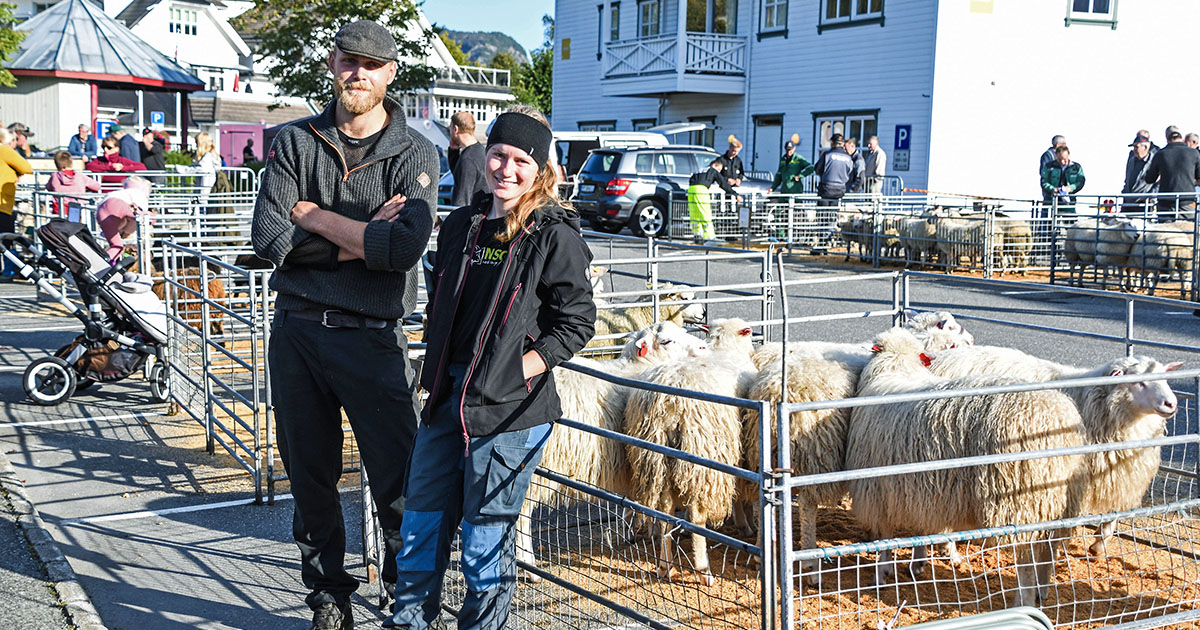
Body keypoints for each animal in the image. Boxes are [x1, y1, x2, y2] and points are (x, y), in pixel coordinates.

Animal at [516, 321, 709, 580]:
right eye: (667, 341)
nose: (703, 346)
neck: (640, 369)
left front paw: (633, 530)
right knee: (521, 516)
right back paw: (530, 568)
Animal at [623, 318, 757, 586]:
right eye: (666, 340)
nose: (702, 347)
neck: (727, 348)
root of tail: (668, 403)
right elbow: (740, 493)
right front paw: (746, 525)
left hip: (657, 455)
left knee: (664, 510)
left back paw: (665, 566)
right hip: (702, 453)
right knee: (697, 515)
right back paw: (704, 571)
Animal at [846, 328, 1088, 606]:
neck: (895, 367)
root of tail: (1056, 416)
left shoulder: (877, 488)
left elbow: (884, 536)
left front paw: (882, 573)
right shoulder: (920, 487)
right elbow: (921, 528)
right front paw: (918, 562)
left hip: (1020, 502)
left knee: (1026, 559)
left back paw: (1023, 601)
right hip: (1058, 500)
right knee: (1048, 549)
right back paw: (1040, 592)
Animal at [926, 346, 1181, 555]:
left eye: (1166, 378)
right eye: (1139, 382)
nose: (1171, 403)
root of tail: (938, 357)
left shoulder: (1117, 477)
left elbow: (1111, 519)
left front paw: (1098, 546)